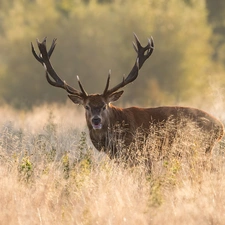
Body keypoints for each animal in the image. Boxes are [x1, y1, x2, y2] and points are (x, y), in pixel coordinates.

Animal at [31, 34, 223, 162]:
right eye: (86, 106)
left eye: (104, 105)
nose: (95, 120)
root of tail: (220, 128)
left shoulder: (141, 153)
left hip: (199, 149)